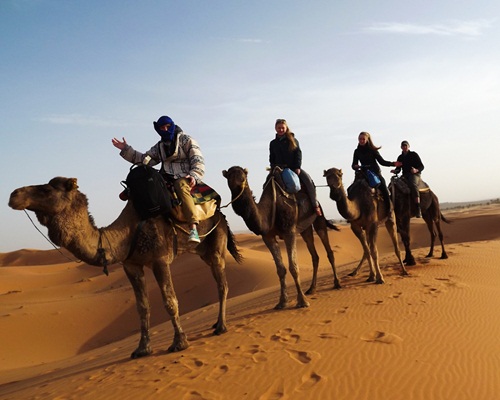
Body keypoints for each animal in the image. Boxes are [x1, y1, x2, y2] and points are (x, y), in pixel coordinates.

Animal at [7, 177, 242, 358]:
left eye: (47, 189)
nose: (13, 195)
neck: (126, 234)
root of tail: (222, 214)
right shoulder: (131, 265)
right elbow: (142, 307)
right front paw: (142, 349)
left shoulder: (160, 259)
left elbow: (170, 301)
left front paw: (179, 343)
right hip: (203, 252)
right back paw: (215, 324)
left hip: (216, 242)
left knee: (222, 284)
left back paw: (221, 327)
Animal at [222, 166, 340, 310]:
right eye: (229, 177)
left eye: (243, 177)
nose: (238, 186)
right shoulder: (268, 237)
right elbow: (280, 269)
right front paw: (282, 302)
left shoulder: (289, 232)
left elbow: (293, 267)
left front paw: (302, 301)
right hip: (305, 229)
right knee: (315, 255)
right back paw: (312, 289)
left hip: (319, 218)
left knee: (328, 250)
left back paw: (337, 283)